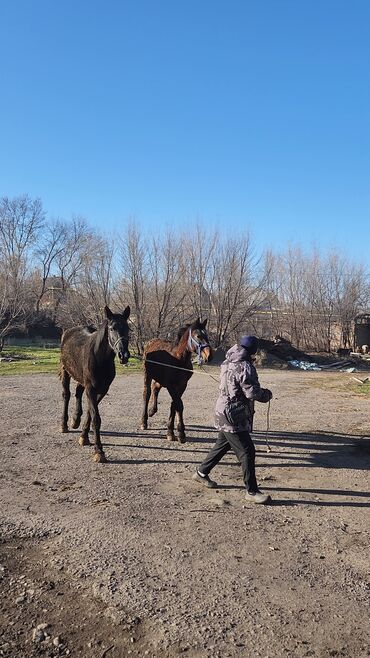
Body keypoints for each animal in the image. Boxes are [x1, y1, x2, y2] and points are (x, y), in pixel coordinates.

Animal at [60, 304, 130, 462]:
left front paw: (84, 437)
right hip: (66, 371)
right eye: (112, 328)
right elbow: (96, 418)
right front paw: (99, 451)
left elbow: (90, 413)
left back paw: (75, 419)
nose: (124, 355)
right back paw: (64, 424)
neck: (100, 358)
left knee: (78, 392)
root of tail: (68, 332)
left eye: (128, 328)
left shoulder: (102, 390)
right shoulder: (91, 389)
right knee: (66, 395)